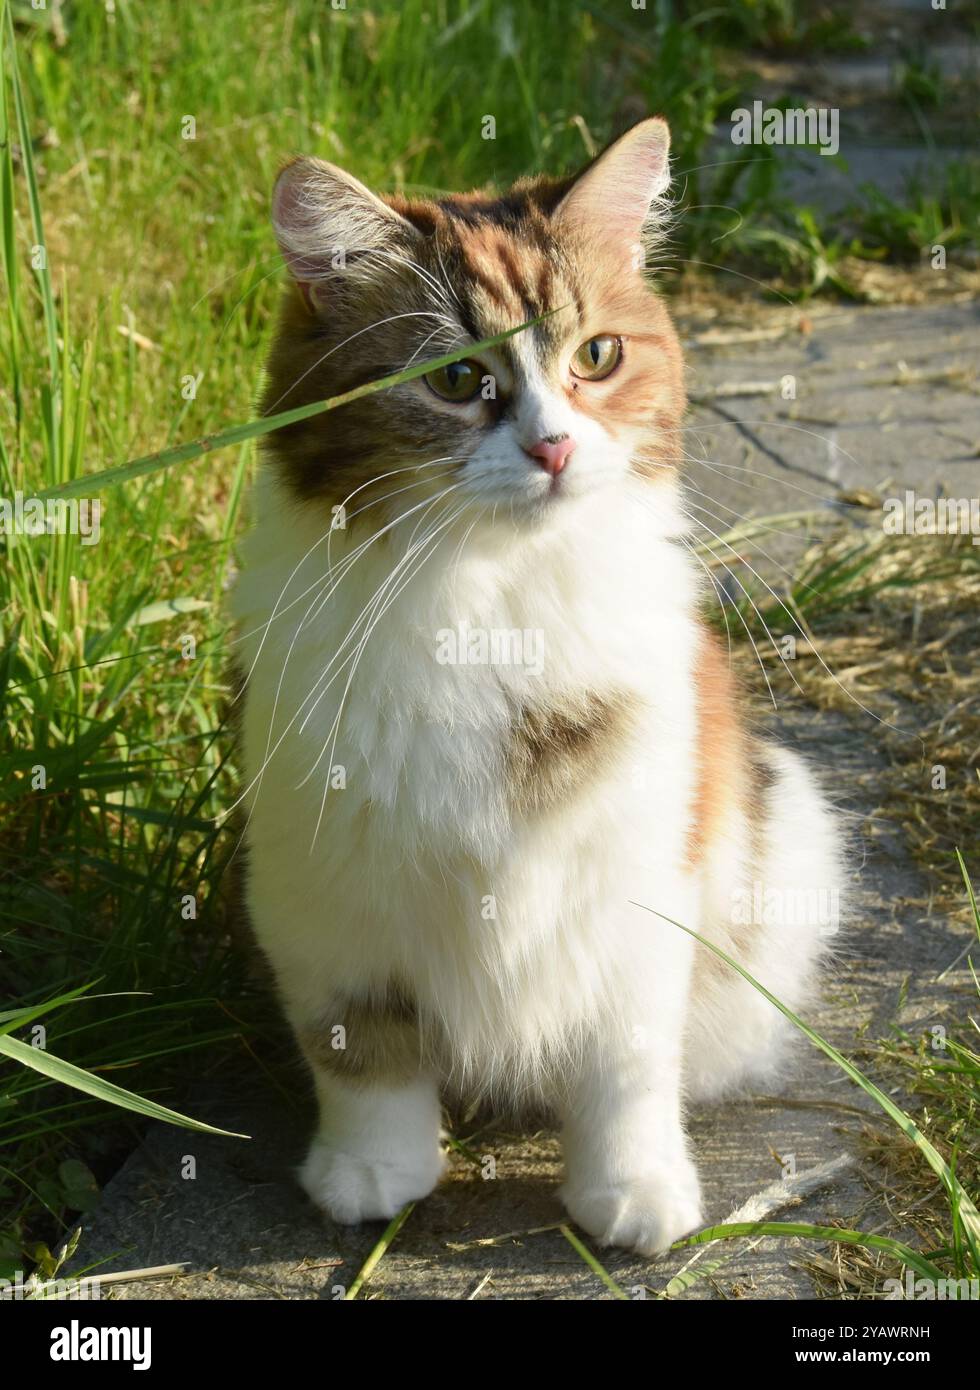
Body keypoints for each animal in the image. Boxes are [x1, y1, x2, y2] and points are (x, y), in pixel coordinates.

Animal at [229, 113, 839, 1256]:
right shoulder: (320, 887)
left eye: (596, 356)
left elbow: (624, 1063)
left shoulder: (636, 884)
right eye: (453, 381)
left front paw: (633, 1191)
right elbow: (359, 1047)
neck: (489, 597)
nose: (553, 446)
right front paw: (373, 1172)